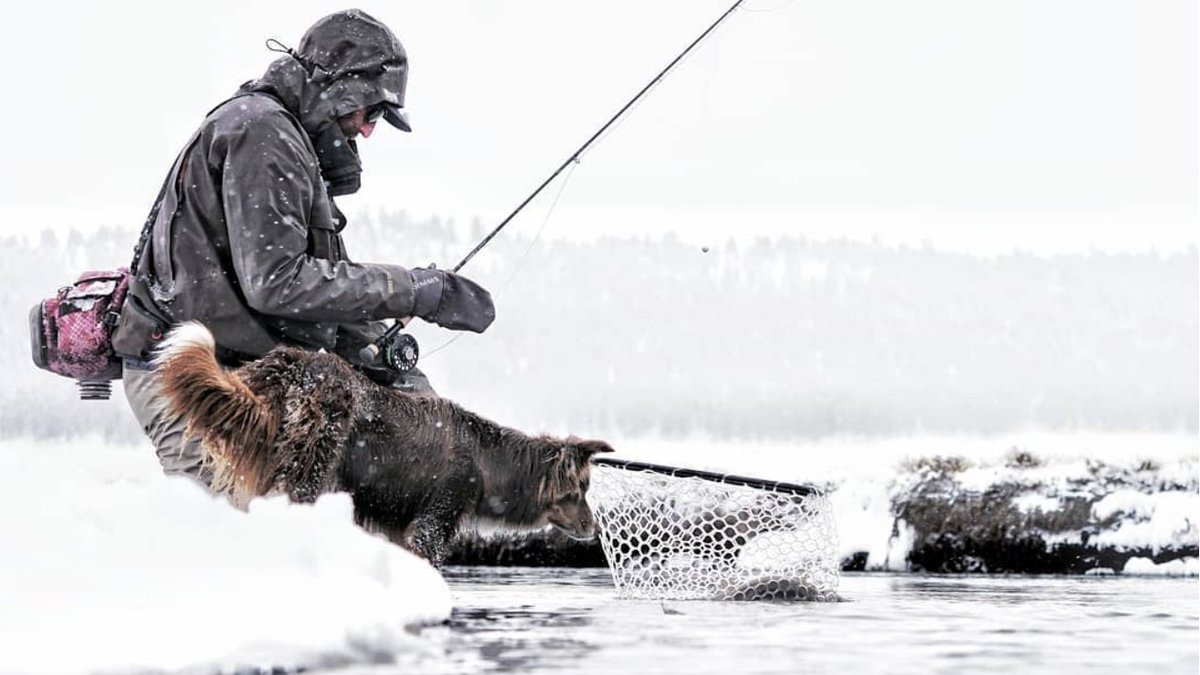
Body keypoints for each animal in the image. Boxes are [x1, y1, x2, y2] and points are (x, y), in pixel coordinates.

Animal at [153, 319, 614, 562]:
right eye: (578, 491)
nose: (593, 529)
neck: (490, 463)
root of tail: (289, 366)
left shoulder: (395, 524)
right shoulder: (435, 516)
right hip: (314, 459)